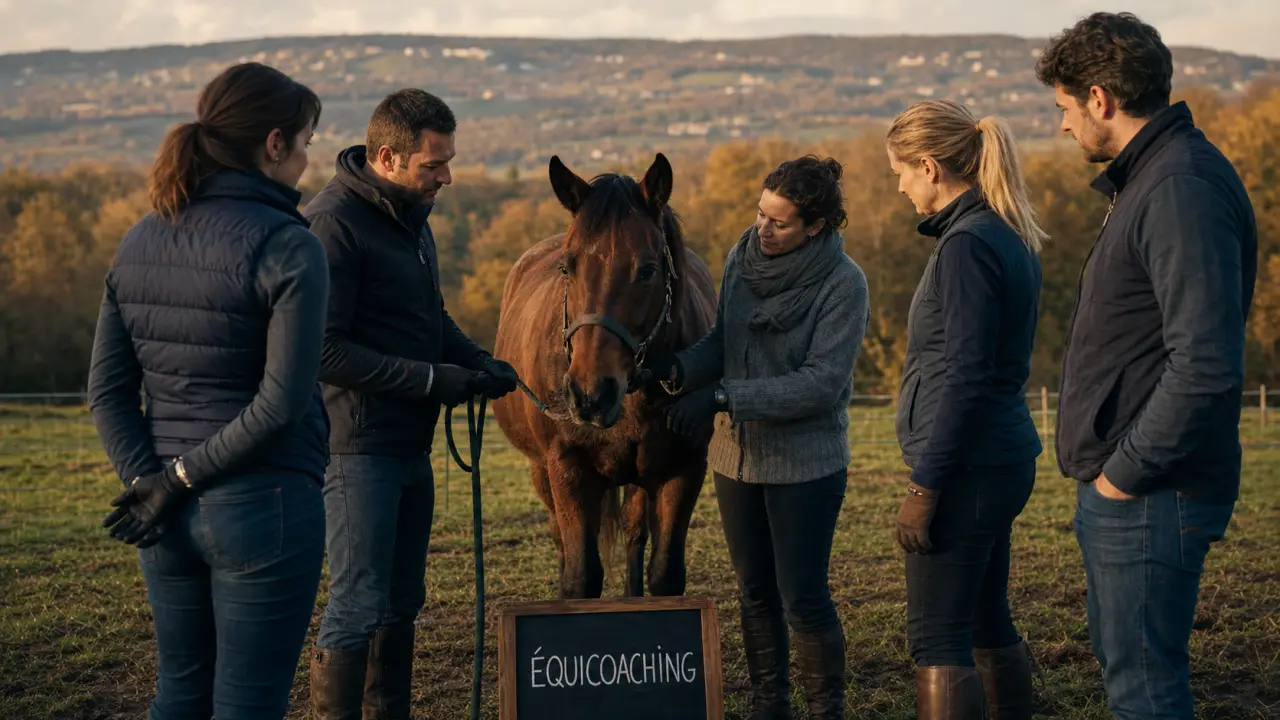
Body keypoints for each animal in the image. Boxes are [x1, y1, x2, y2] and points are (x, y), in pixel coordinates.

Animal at [491, 152, 718, 600]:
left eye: (647, 270)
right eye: (567, 267)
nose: (590, 394)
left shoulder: (683, 470)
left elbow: (665, 573)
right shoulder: (567, 470)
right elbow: (580, 575)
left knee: (633, 533)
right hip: (541, 471)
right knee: (560, 538)